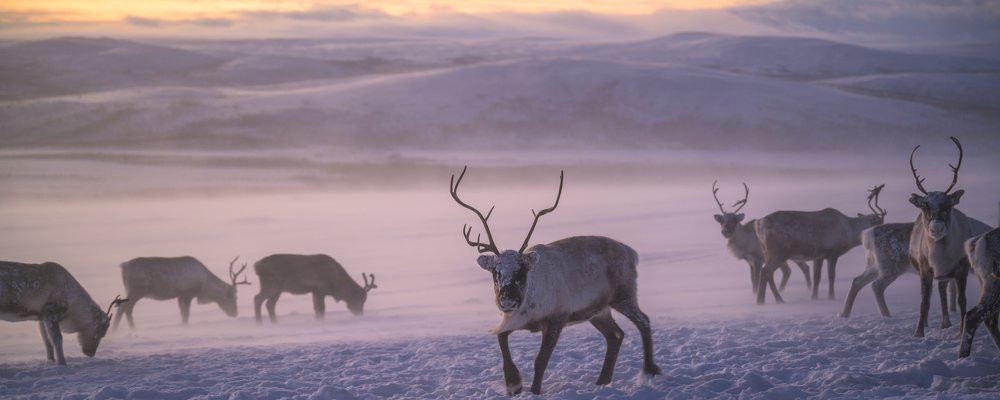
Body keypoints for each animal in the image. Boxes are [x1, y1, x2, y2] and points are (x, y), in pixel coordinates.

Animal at [113, 256, 250, 330]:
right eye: (230, 296)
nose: (235, 314)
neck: (203, 286)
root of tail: (123, 266)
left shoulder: (180, 295)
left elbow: (182, 314)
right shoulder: (188, 293)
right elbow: (186, 314)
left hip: (132, 291)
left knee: (127, 309)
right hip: (136, 290)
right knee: (123, 308)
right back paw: (119, 329)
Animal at [450, 166, 661, 395]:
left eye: (521, 272)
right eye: (495, 272)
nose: (507, 301)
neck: (530, 303)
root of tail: (631, 252)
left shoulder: (557, 318)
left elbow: (540, 361)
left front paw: (534, 390)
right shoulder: (516, 319)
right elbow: (501, 338)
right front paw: (513, 384)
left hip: (624, 295)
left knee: (643, 320)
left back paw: (650, 369)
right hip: (598, 310)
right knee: (616, 335)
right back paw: (602, 380)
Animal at [754, 185, 887, 304]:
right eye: (880, 222)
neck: (849, 231)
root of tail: (759, 224)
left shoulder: (819, 256)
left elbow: (818, 277)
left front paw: (816, 297)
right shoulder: (829, 253)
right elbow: (829, 277)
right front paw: (829, 297)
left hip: (768, 252)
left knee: (769, 274)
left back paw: (774, 300)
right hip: (778, 253)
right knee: (765, 271)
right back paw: (762, 301)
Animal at [907, 136, 992, 337]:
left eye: (948, 205)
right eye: (924, 205)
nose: (936, 227)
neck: (940, 255)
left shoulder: (961, 269)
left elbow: (962, 301)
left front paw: (961, 332)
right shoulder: (925, 269)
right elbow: (924, 302)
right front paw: (919, 332)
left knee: (944, 292)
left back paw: (946, 323)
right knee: (937, 292)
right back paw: (937, 323)